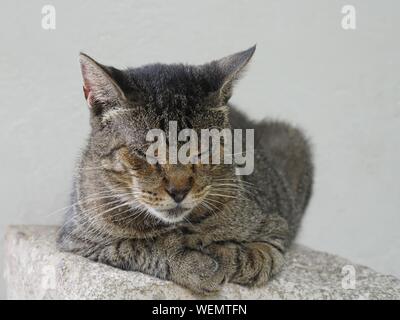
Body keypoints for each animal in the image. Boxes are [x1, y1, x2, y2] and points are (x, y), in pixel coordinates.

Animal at [57, 46, 312, 296]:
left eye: (203, 150)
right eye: (144, 153)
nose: (178, 191)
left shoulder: (273, 233)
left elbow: (249, 257)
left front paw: (217, 251)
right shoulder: (79, 241)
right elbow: (138, 246)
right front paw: (194, 263)